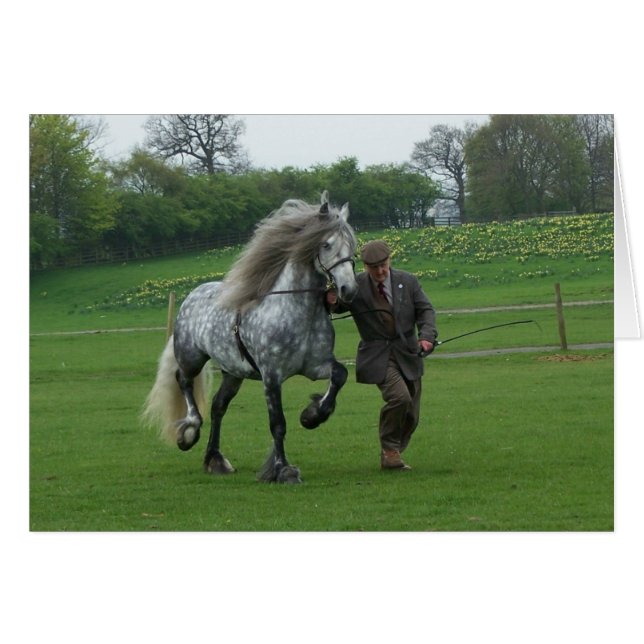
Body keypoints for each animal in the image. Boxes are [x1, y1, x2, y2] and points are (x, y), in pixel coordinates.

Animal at [143, 191, 358, 483]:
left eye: (352, 244)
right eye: (326, 244)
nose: (348, 290)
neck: (295, 311)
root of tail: (193, 294)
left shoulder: (315, 366)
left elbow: (339, 376)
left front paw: (312, 415)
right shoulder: (271, 376)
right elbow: (277, 423)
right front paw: (283, 469)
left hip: (234, 372)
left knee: (218, 406)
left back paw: (215, 459)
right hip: (192, 357)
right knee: (183, 381)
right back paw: (189, 432)